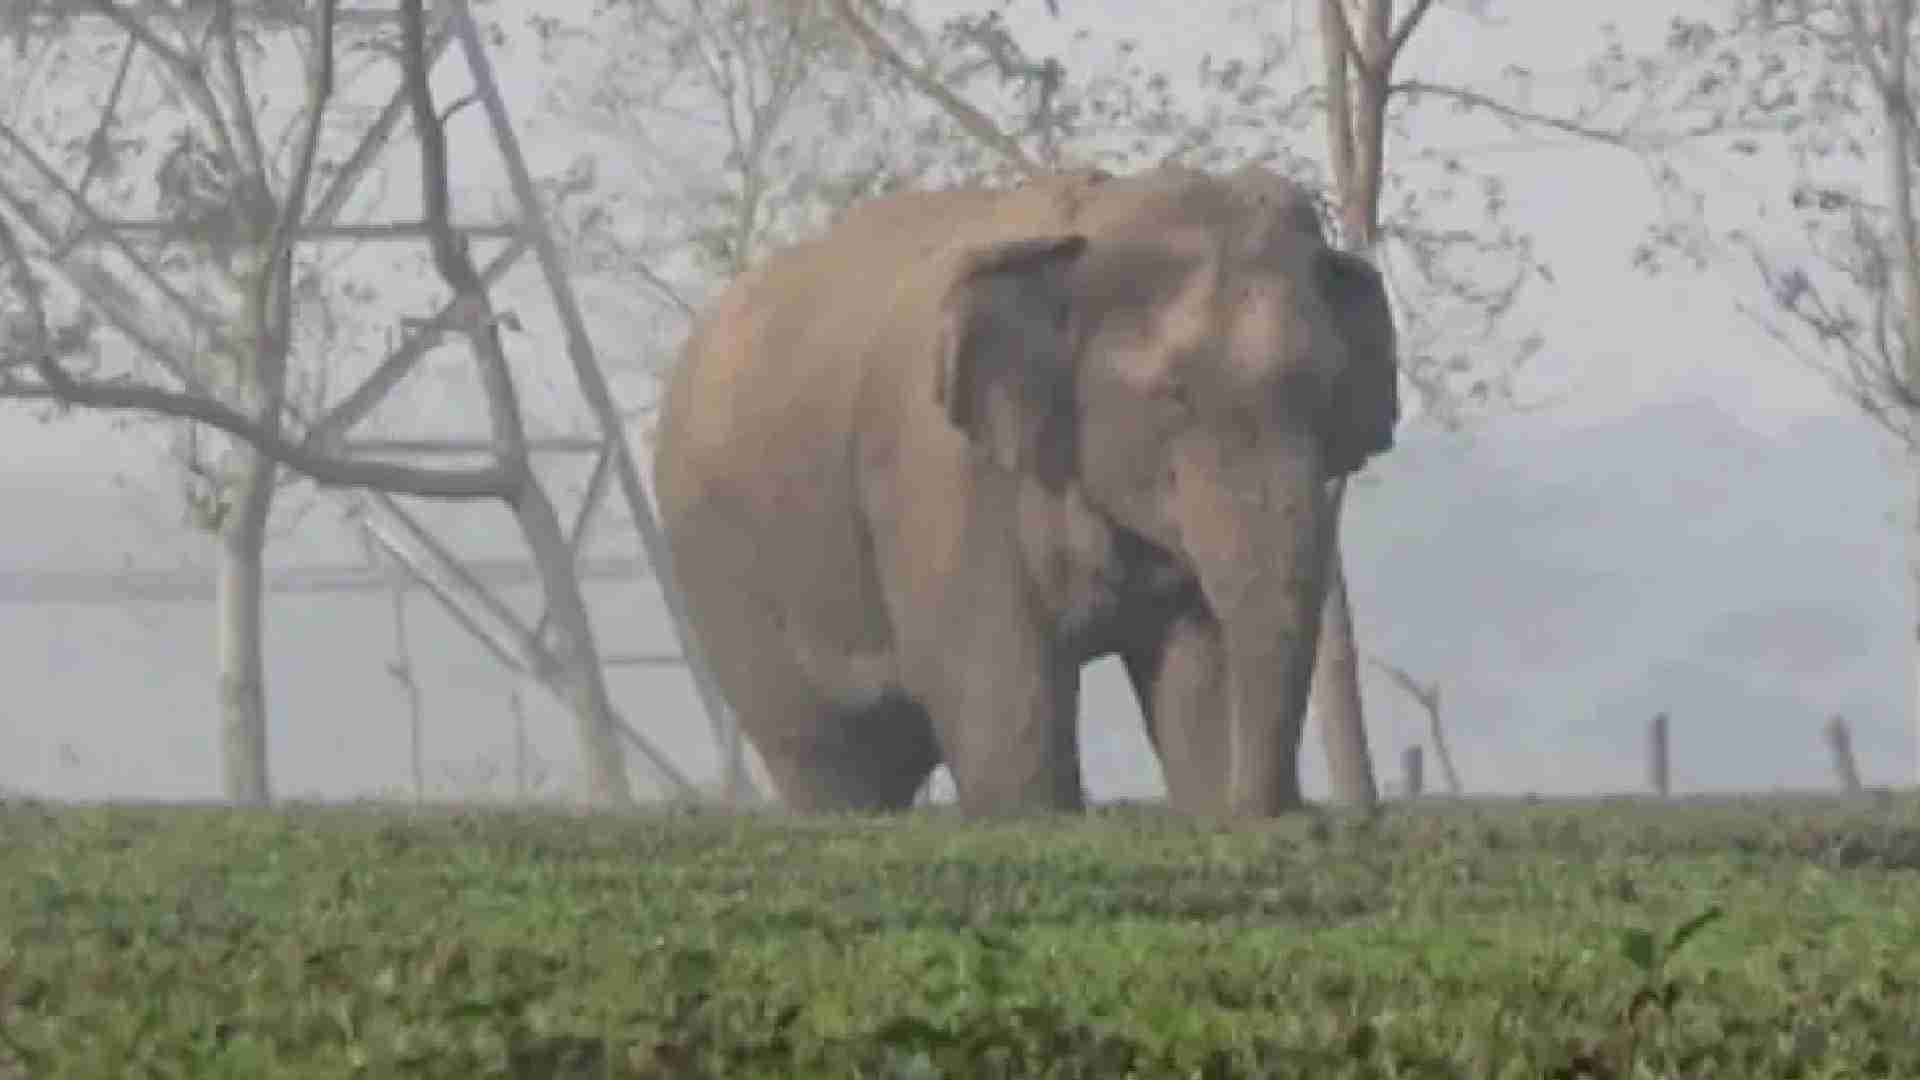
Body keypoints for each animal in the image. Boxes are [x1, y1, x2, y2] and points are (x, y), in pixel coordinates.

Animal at [651, 164, 1399, 818]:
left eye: (1328, 393)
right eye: (1174, 398)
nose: (1299, 815)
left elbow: (1198, 667)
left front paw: (1210, 808)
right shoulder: (941, 468)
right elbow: (996, 697)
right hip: (717, 564)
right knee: (820, 752)